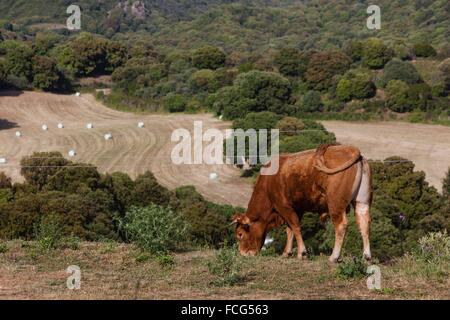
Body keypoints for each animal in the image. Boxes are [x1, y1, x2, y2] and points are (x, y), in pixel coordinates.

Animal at [232, 144, 372, 262]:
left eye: (240, 234)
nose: (243, 253)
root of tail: (350, 149)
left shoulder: (284, 206)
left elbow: (295, 226)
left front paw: (302, 253)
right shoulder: (297, 209)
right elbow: (289, 230)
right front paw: (287, 252)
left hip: (335, 204)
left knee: (341, 225)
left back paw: (334, 256)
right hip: (362, 201)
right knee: (364, 223)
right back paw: (366, 256)